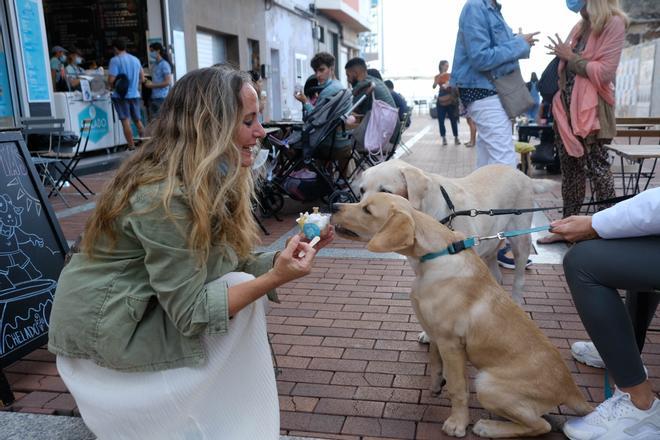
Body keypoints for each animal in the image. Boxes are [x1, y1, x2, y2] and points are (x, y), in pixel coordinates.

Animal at [332, 194, 592, 438]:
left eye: (367, 210)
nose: (333, 205)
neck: (433, 256)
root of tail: (571, 388)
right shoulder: (436, 334)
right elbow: (435, 362)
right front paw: (436, 385)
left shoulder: (451, 343)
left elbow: (457, 388)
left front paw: (457, 423)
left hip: (487, 384)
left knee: (541, 425)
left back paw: (488, 427)